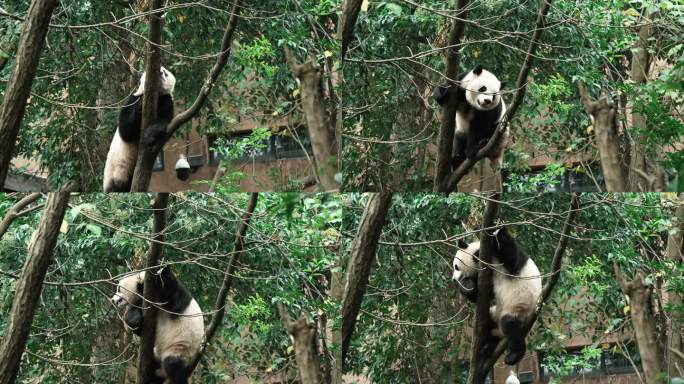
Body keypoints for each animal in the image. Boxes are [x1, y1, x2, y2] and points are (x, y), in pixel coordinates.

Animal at [452, 226, 544, 364]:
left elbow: (511, 257)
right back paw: (488, 348)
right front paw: (467, 285)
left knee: (511, 327)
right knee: (488, 327)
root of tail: (499, 332)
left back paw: (513, 355)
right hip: (494, 313)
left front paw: (497, 232)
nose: (453, 279)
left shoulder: (506, 261)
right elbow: (477, 295)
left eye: (456, 267)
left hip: (519, 309)